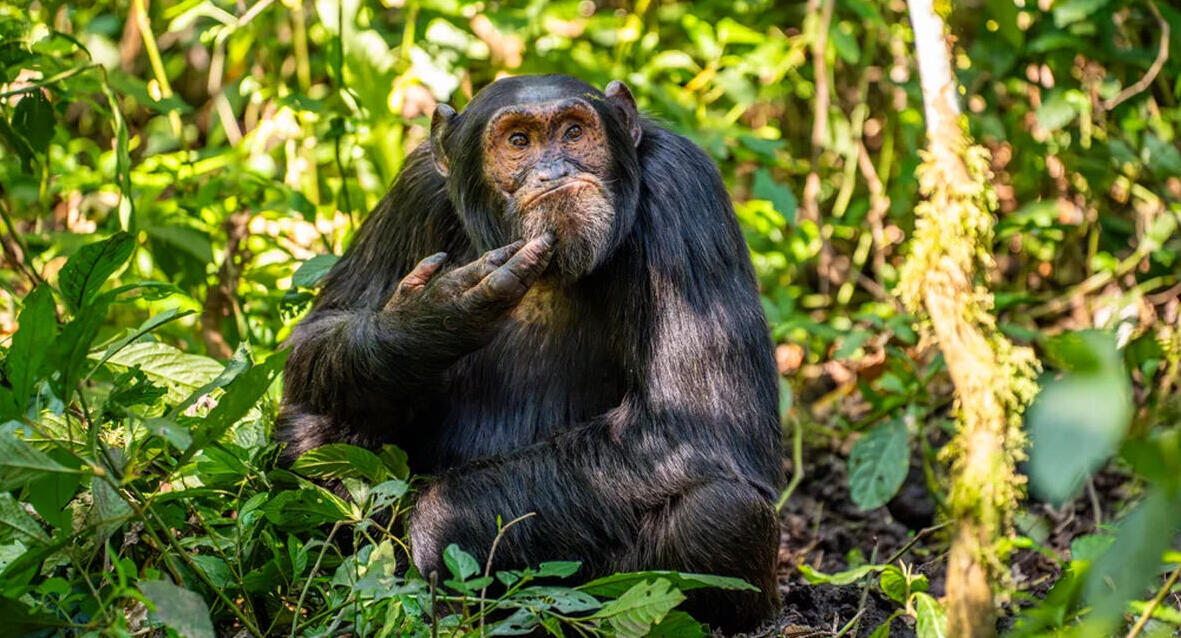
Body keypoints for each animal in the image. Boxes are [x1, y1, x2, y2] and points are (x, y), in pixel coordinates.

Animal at [276, 76, 784, 633]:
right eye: (518, 141)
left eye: (573, 131)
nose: (554, 170)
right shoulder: (413, 189)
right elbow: (319, 330)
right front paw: (429, 319)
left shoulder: (684, 187)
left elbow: (696, 420)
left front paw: (441, 524)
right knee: (313, 429)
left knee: (721, 511)